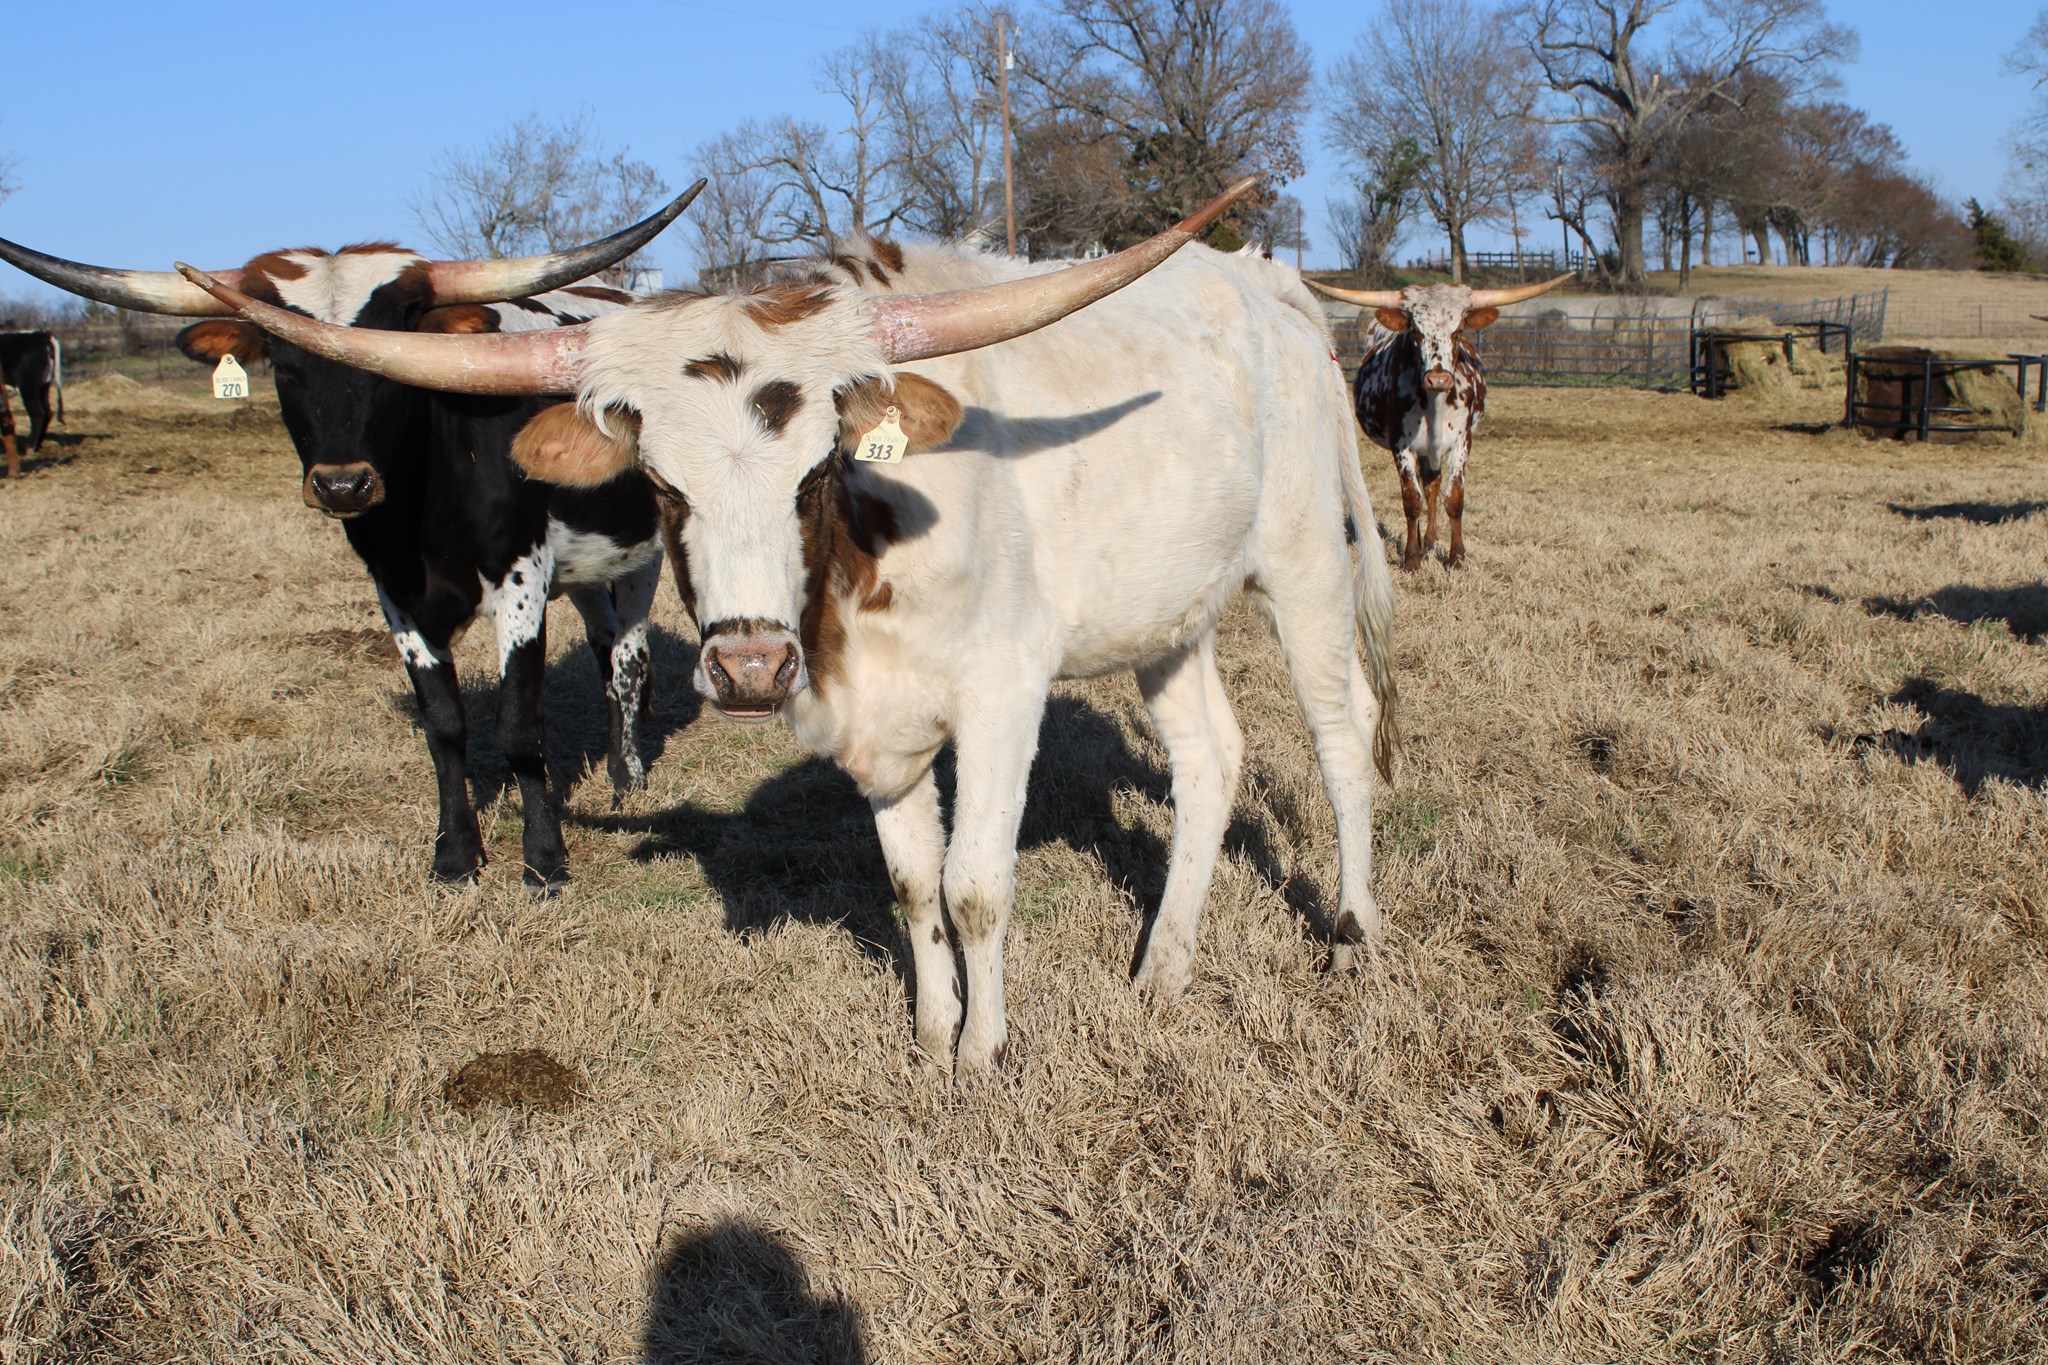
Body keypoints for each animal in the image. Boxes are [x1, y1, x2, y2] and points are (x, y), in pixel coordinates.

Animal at [0, 329, 62, 477]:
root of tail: (41, 334)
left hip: (28, 386)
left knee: (37, 413)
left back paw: (30, 448)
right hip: (42, 386)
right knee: (47, 413)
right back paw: (37, 445)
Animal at [187, 178, 1404, 1077]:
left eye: (817, 468)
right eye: (658, 484)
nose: (749, 665)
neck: (861, 571)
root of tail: (1266, 284)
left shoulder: (1002, 695)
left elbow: (975, 886)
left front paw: (983, 1053)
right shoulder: (878, 723)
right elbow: (913, 885)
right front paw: (929, 1034)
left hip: (1304, 564)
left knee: (1343, 738)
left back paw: (1351, 933)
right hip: (1169, 613)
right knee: (1210, 757)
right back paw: (1162, 969)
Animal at [1306, 275, 1571, 571]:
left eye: (1458, 331)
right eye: (1416, 332)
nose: (1438, 379)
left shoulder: (1461, 443)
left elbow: (1454, 499)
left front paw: (1456, 557)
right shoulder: (1402, 446)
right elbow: (1412, 500)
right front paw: (1412, 557)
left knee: (1433, 484)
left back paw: (1431, 539)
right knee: (1427, 486)